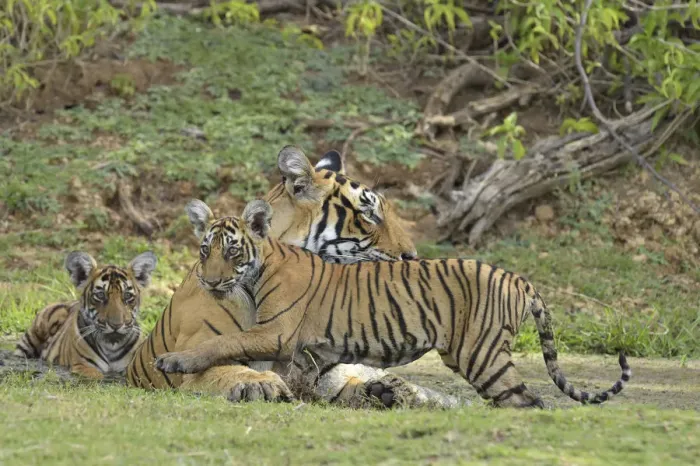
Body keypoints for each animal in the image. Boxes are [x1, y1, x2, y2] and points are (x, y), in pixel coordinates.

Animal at [14, 250, 157, 379]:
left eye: (127, 295)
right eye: (100, 295)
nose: (116, 325)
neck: (111, 346)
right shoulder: (82, 365)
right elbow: (97, 376)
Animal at [126, 145, 458, 408]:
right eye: (368, 214)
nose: (413, 256)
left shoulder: (326, 373)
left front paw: (391, 392)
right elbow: (220, 368)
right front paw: (259, 383)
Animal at [154, 198, 632, 408]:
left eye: (232, 251)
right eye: (204, 250)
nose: (209, 280)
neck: (260, 268)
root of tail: (517, 277)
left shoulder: (275, 331)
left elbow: (220, 343)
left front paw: (174, 360)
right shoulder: (306, 348)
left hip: (481, 355)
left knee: (527, 402)